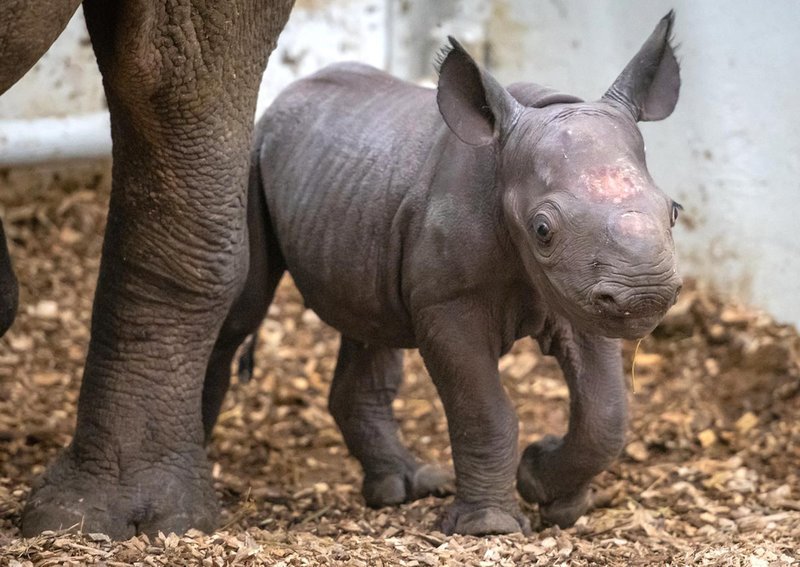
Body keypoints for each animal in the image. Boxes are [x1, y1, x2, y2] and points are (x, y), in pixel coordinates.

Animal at [205, 13, 680, 536]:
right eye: (542, 230)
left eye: (674, 211)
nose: (645, 295)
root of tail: (281, 100)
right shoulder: (451, 304)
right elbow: (484, 409)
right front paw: (490, 527)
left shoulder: (582, 289)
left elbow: (605, 412)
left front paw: (546, 488)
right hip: (251, 160)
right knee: (240, 316)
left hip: (357, 188)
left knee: (370, 327)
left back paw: (403, 488)